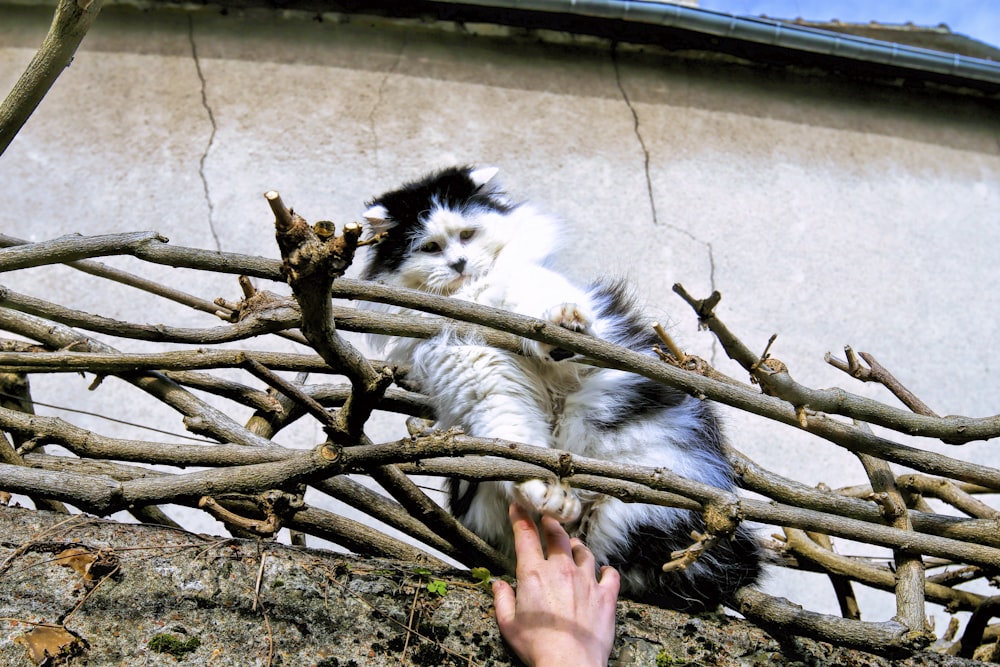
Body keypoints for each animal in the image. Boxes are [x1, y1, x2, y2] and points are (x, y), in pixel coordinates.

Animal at [358, 166, 756, 612]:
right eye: (430, 247)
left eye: (467, 235)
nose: (459, 262)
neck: (472, 300)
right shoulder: (485, 385)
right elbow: (517, 448)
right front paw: (545, 492)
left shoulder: (533, 300)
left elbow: (541, 313)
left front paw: (565, 325)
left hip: (643, 499)